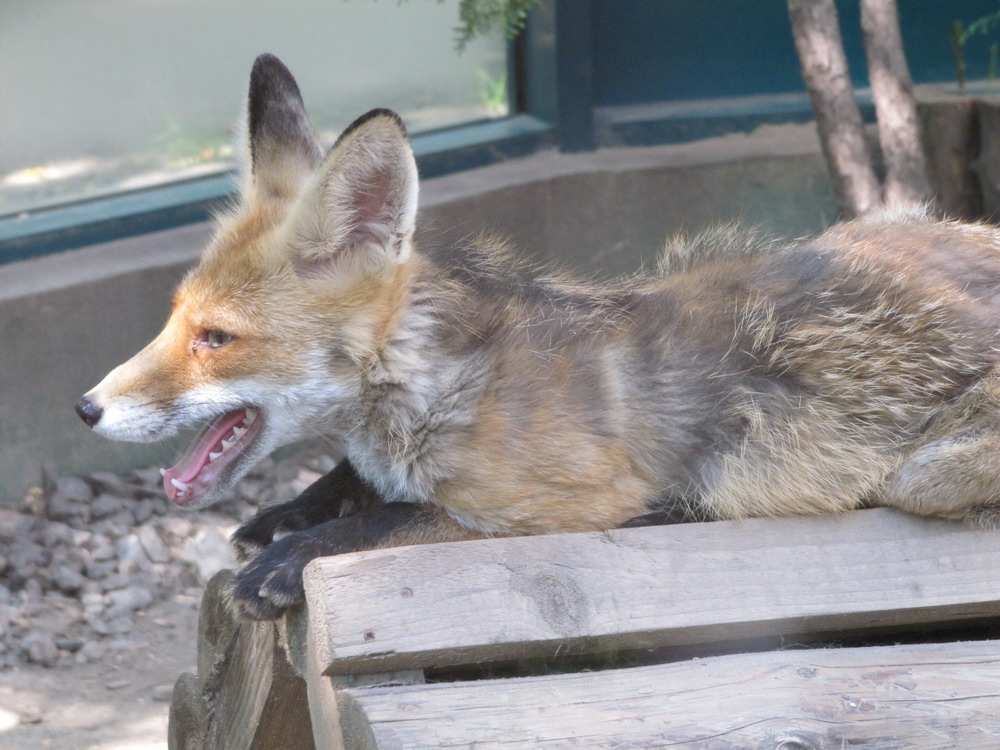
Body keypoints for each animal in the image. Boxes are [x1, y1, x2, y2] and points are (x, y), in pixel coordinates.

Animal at [77, 53, 1000, 620]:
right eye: (175, 317)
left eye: (216, 337)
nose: (86, 408)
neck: (438, 394)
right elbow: (354, 482)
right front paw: (296, 509)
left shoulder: (565, 508)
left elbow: (408, 516)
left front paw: (304, 548)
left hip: (919, 469)